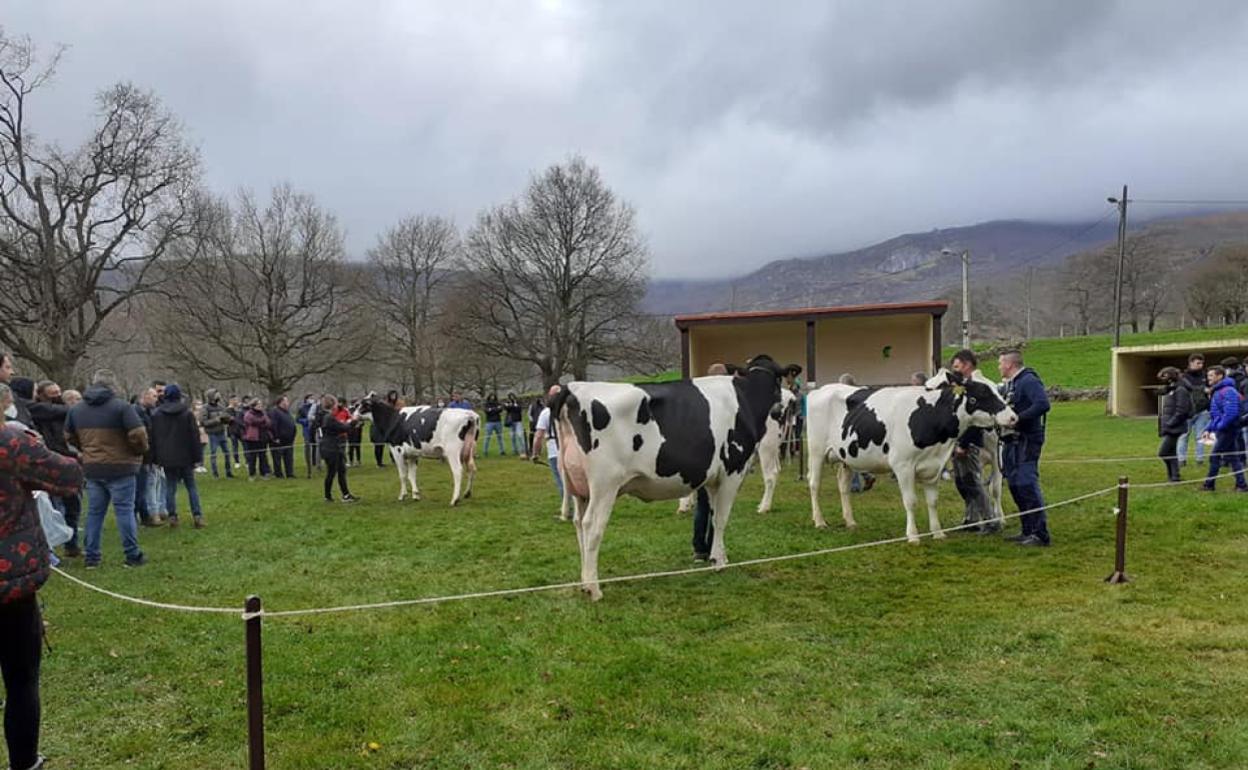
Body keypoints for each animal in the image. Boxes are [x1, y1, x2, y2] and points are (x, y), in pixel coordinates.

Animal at [554, 354, 783, 601]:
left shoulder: (713, 478)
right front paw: (720, 563)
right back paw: (594, 588)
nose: (781, 410)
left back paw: (583, 582)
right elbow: (722, 518)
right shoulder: (733, 470)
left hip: (578, 488)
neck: (745, 399)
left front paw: (716, 556)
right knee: (592, 525)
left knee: (578, 523)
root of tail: (574, 388)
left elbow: (713, 517)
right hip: (604, 485)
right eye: (780, 379)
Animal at [803, 371, 1018, 541]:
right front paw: (913, 536)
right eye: (981, 394)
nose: (1013, 417)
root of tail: (820, 390)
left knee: (843, 485)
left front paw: (937, 533)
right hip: (816, 450)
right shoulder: (903, 466)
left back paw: (850, 521)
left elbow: (933, 501)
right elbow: (911, 501)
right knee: (814, 483)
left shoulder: (934, 466)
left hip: (846, 456)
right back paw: (819, 521)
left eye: (998, 391)